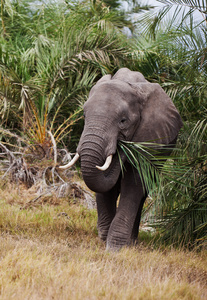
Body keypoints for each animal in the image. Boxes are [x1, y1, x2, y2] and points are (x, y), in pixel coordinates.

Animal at [59, 68, 183, 251]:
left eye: (123, 121)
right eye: (84, 115)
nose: (120, 147)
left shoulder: (149, 137)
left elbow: (133, 185)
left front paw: (115, 248)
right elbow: (107, 188)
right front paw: (104, 240)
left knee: (142, 193)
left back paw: (132, 241)